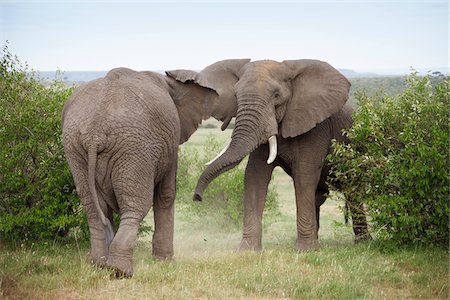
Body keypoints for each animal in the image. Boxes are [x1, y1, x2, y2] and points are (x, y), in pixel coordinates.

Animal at [61, 67, 218, 278]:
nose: (198, 198)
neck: (169, 83)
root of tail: (95, 133)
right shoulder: (170, 145)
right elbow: (166, 194)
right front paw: (165, 261)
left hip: (75, 149)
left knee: (93, 208)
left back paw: (98, 264)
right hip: (134, 149)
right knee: (135, 206)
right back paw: (120, 271)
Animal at [192, 58, 370, 251]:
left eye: (276, 95)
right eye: (236, 95)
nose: (197, 197)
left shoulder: (316, 126)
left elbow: (304, 176)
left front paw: (304, 251)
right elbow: (254, 175)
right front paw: (248, 250)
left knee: (353, 192)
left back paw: (362, 243)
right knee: (318, 196)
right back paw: (318, 242)